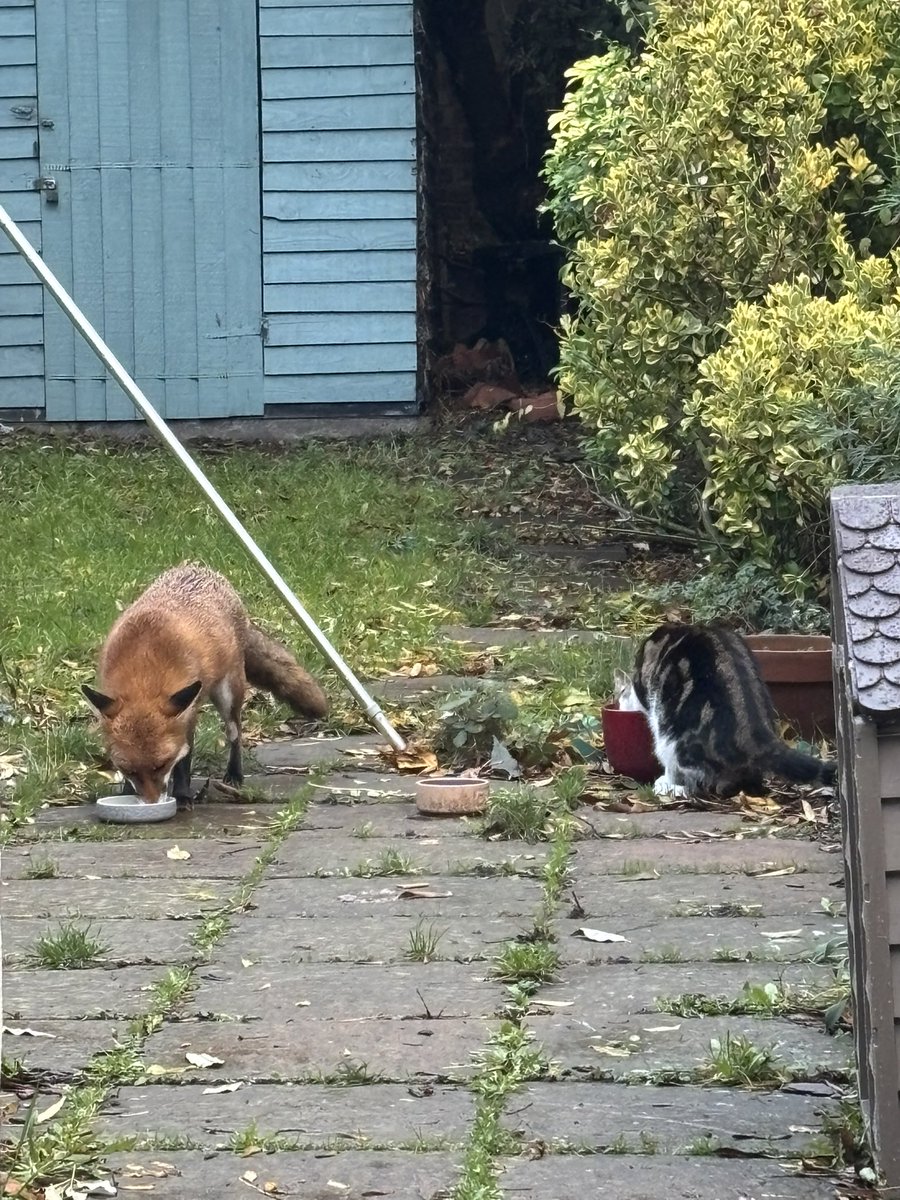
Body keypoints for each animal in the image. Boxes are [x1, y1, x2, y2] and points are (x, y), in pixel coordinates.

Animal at [82, 563, 328, 804]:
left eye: (162, 765)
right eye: (129, 770)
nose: (151, 803)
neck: (143, 673)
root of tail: (201, 568)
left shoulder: (188, 713)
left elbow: (184, 758)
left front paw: (182, 796)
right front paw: (126, 792)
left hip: (228, 693)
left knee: (235, 733)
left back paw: (234, 774)